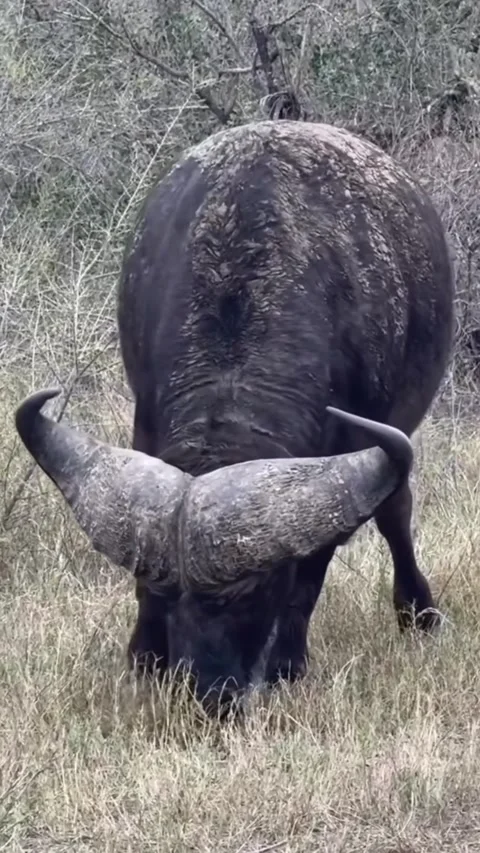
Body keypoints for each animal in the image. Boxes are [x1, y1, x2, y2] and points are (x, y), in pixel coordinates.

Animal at [15, 120, 454, 716]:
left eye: (254, 593)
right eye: (161, 591)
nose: (210, 693)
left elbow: (311, 574)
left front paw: (287, 665)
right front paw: (144, 655)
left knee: (396, 513)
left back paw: (418, 612)